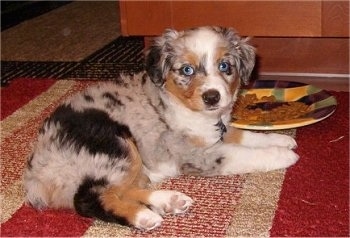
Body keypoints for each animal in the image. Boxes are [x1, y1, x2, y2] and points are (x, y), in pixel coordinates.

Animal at [23, 26, 298, 231]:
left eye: (224, 66)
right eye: (187, 70)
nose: (212, 97)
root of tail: (38, 172)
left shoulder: (216, 131)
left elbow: (245, 136)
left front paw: (281, 139)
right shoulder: (195, 154)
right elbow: (240, 154)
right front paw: (283, 155)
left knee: (124, 189)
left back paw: (168, 201)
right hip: (114, 144)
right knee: (90, 198)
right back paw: (144, 217)